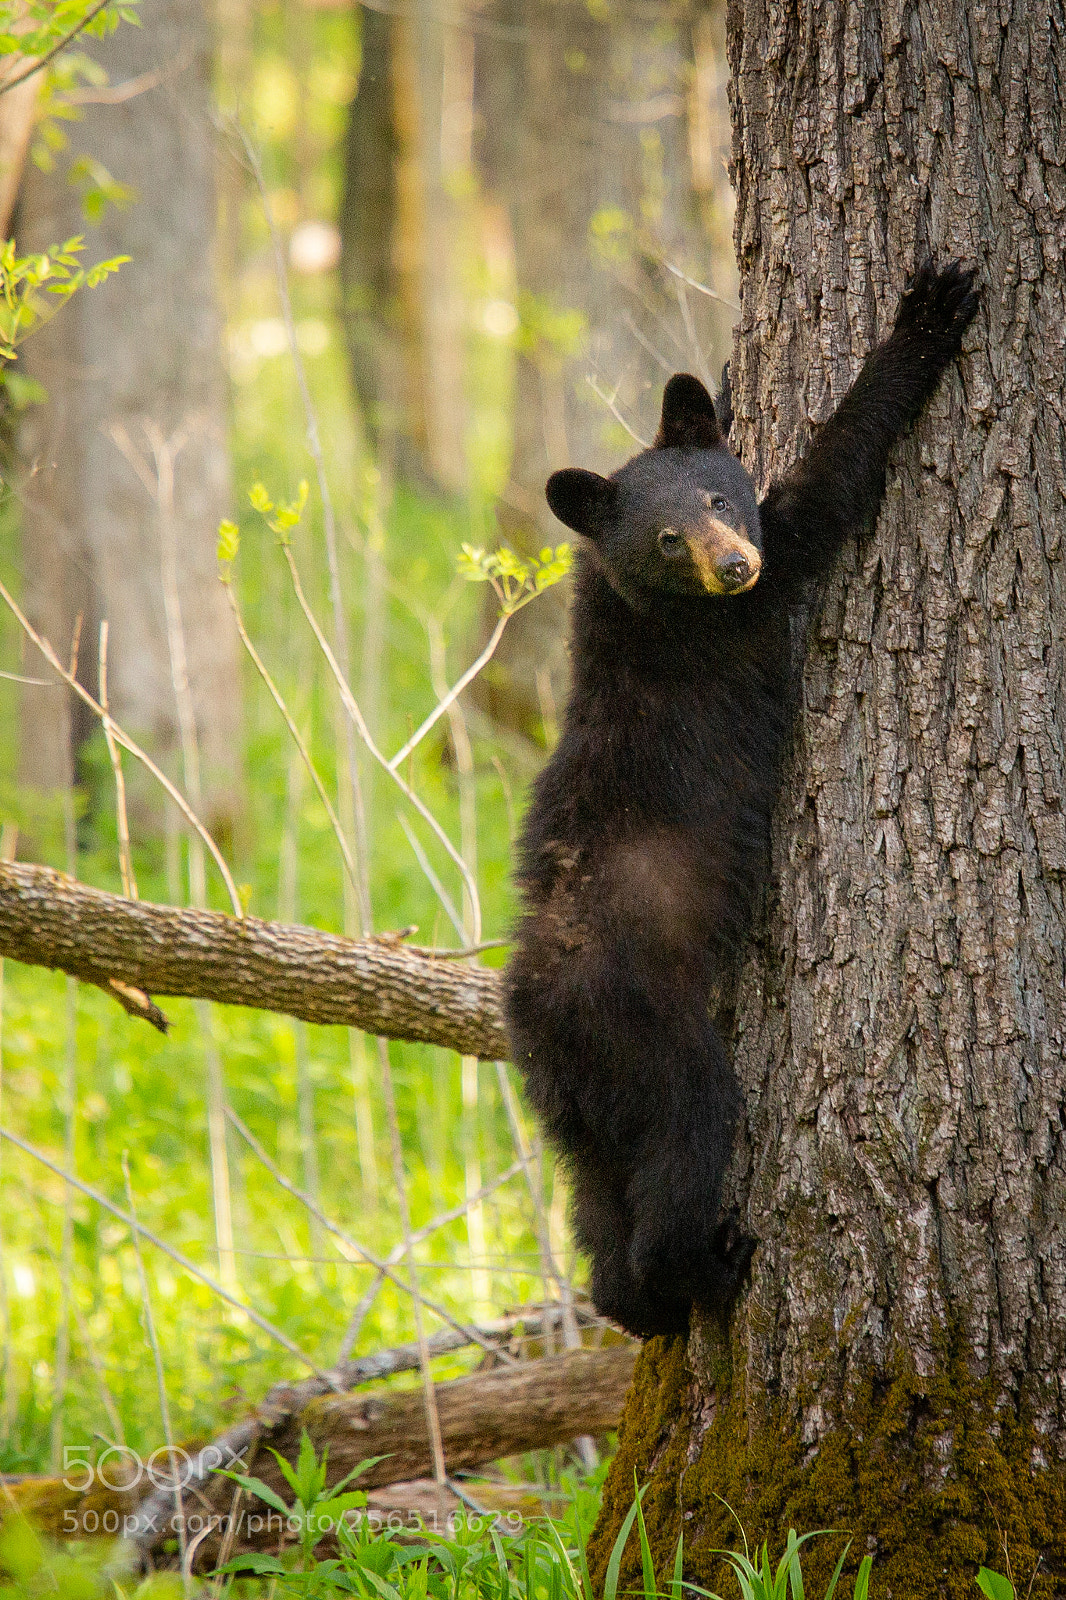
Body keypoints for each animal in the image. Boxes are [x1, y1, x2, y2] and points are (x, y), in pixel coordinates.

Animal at [504, 261, 979, 1339]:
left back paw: (637, 1306)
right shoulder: (747, 604)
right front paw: (924, 319)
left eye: (719, 493)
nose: (732, 562)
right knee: (683, 1151)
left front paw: (714, 377)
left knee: (598, 1205)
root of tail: (539, 1010)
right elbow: (824, 489)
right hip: (655, 1041)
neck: (630, 600)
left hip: (570, 1110)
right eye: (668, 537)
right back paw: (709, 1267)